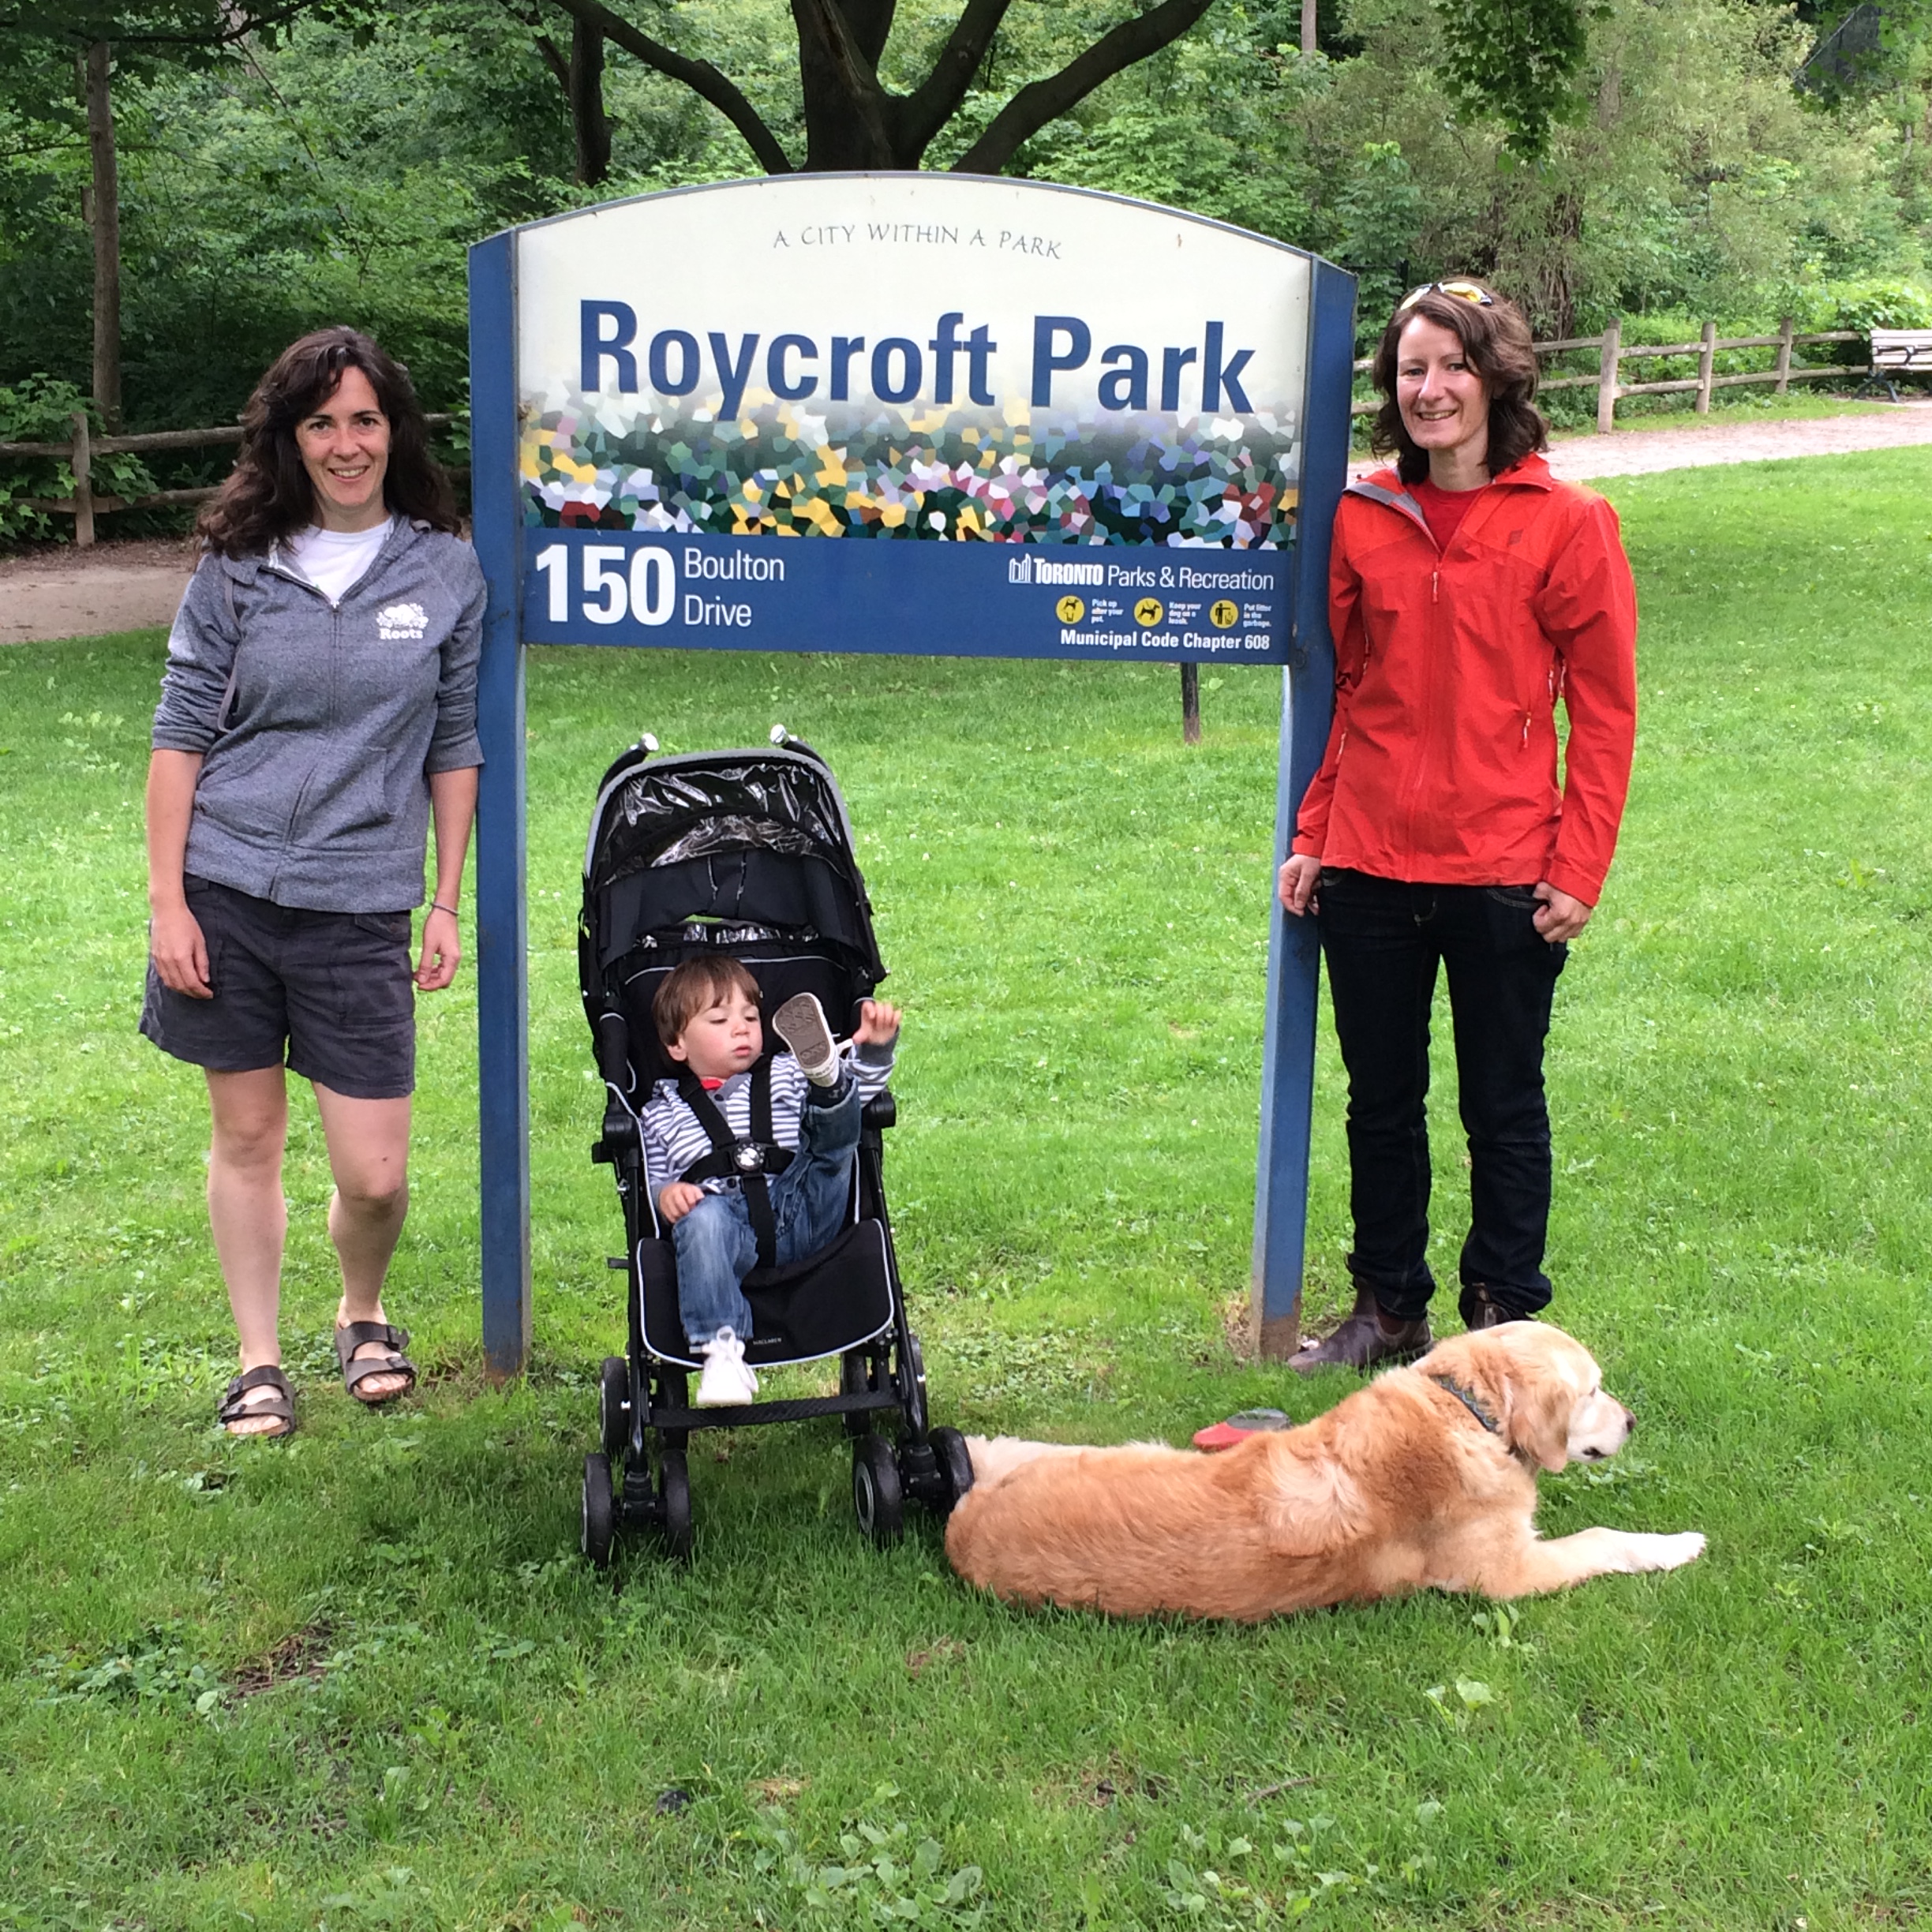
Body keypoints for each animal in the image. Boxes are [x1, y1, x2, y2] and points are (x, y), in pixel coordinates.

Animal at [945, 1324, 1704, 1620]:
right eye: (1594, 1391)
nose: (1633, 1422)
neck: (1464, 1408)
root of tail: (964, 1529)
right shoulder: (1507, 1576)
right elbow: (1603, 1539)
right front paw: (1676, 1545)